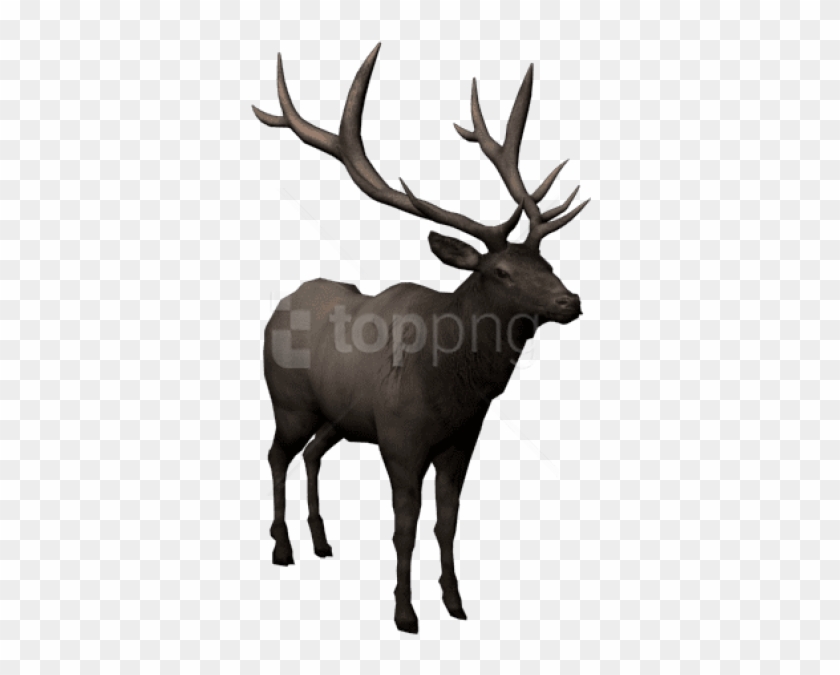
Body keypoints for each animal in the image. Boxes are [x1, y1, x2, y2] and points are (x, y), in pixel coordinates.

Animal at [253, 43, 590, 634]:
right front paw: (405, 612)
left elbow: (446, 523)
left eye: (546, 263)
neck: (451, 386)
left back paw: (321, 541)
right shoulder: (400, 440)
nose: (569, 301)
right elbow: (404, 527)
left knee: (313, 453)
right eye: (500, 272)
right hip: (290, 403)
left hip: (338, 418)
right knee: (277, 456)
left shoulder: (460, 442)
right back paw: (282, 547)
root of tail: (277, 309)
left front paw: (455, 602)